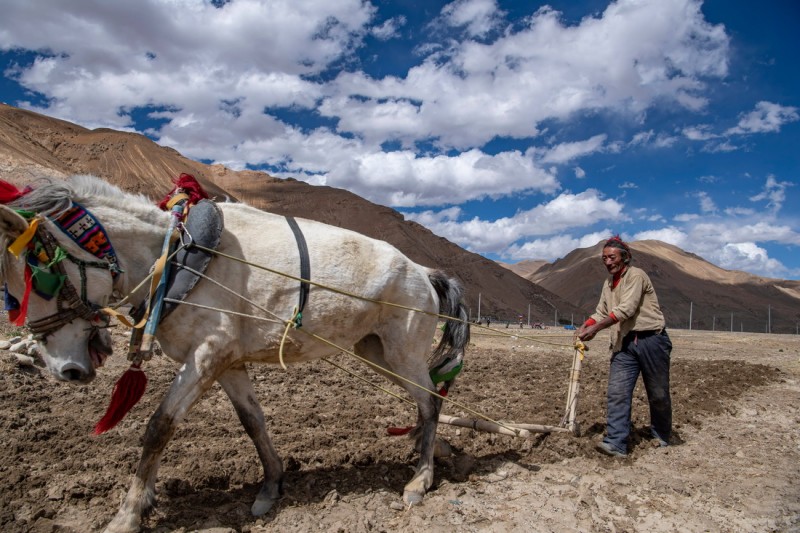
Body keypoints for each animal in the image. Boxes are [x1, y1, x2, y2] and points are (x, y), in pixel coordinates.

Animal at [0, 174, 468, 528]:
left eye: (40, 280)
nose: (65, 370)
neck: (176, 256)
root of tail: (423, 271)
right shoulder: (227, 364)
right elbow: (253, 423)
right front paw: (271, 487)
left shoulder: (206, 355)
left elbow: (159, 426)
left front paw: (129, 513)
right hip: (376, 352)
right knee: (427, 398)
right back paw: (432, 452)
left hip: (402, 351)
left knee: (430, 400)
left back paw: (420, 481)